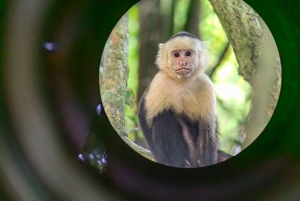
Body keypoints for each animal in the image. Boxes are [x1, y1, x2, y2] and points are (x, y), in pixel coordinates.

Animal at [137, 31, 231, 168]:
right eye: (176, 54)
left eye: (188, 53)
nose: (182, 62)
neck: (182, 82)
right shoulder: (159, 82)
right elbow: (144, 117)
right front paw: (162, 160)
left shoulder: (206, 84)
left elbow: (207, 130)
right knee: (163, 117)